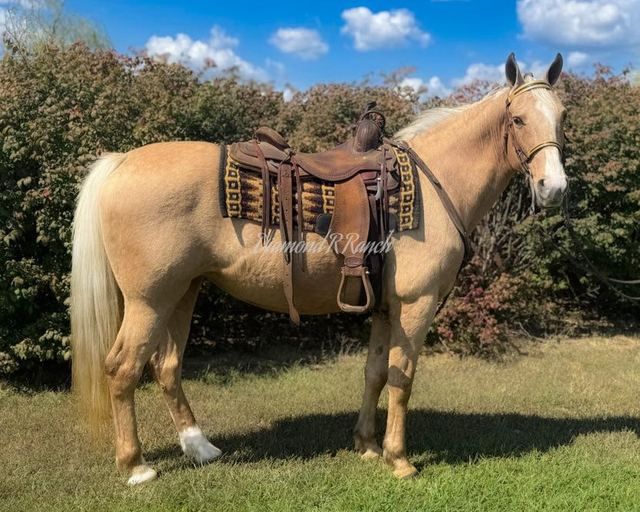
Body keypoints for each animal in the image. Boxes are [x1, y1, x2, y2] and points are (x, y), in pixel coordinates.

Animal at [70, 53, 567, 485]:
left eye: (561, 117)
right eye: (518, 119)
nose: (554, 187)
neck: (433, 185)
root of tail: (121, 162)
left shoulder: (384, 307)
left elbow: (375, 372)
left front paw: (367, 445)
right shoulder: (415, 305)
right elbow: (402, 378)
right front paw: (399, 459)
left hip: (182, 292)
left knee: (167, 366)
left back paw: (201, 448)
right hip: (148, 300)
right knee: (122, 368)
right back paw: (136, 466)